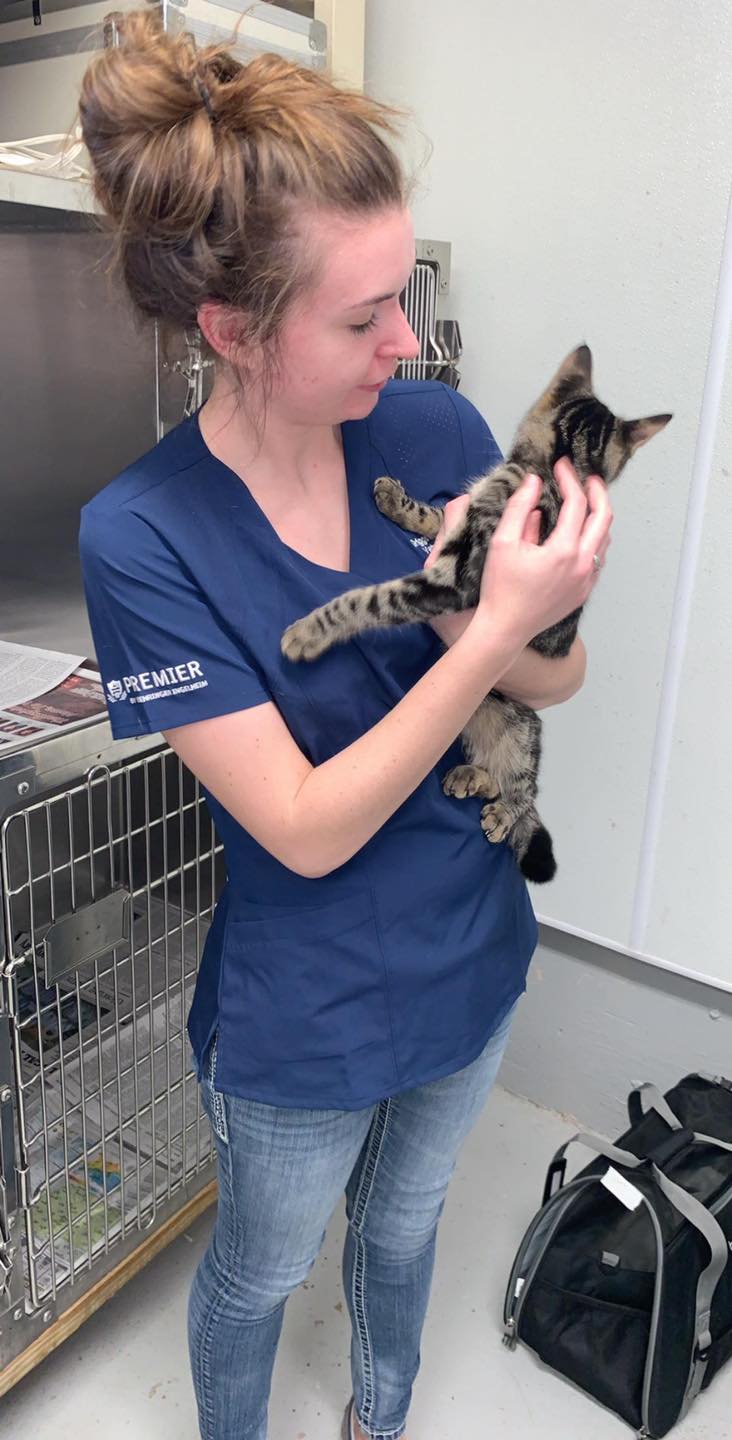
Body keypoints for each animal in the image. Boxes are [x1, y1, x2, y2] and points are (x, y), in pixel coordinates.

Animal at [281, 346, 671, 882]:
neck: (551, 471)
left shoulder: (453, 583)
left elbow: (368, 599)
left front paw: (309, 630)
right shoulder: (462, 528)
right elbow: (436, 514)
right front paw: (396, 501)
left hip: (518, 728)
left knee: (525, 791)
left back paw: (503, 812)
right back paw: (473, 779)